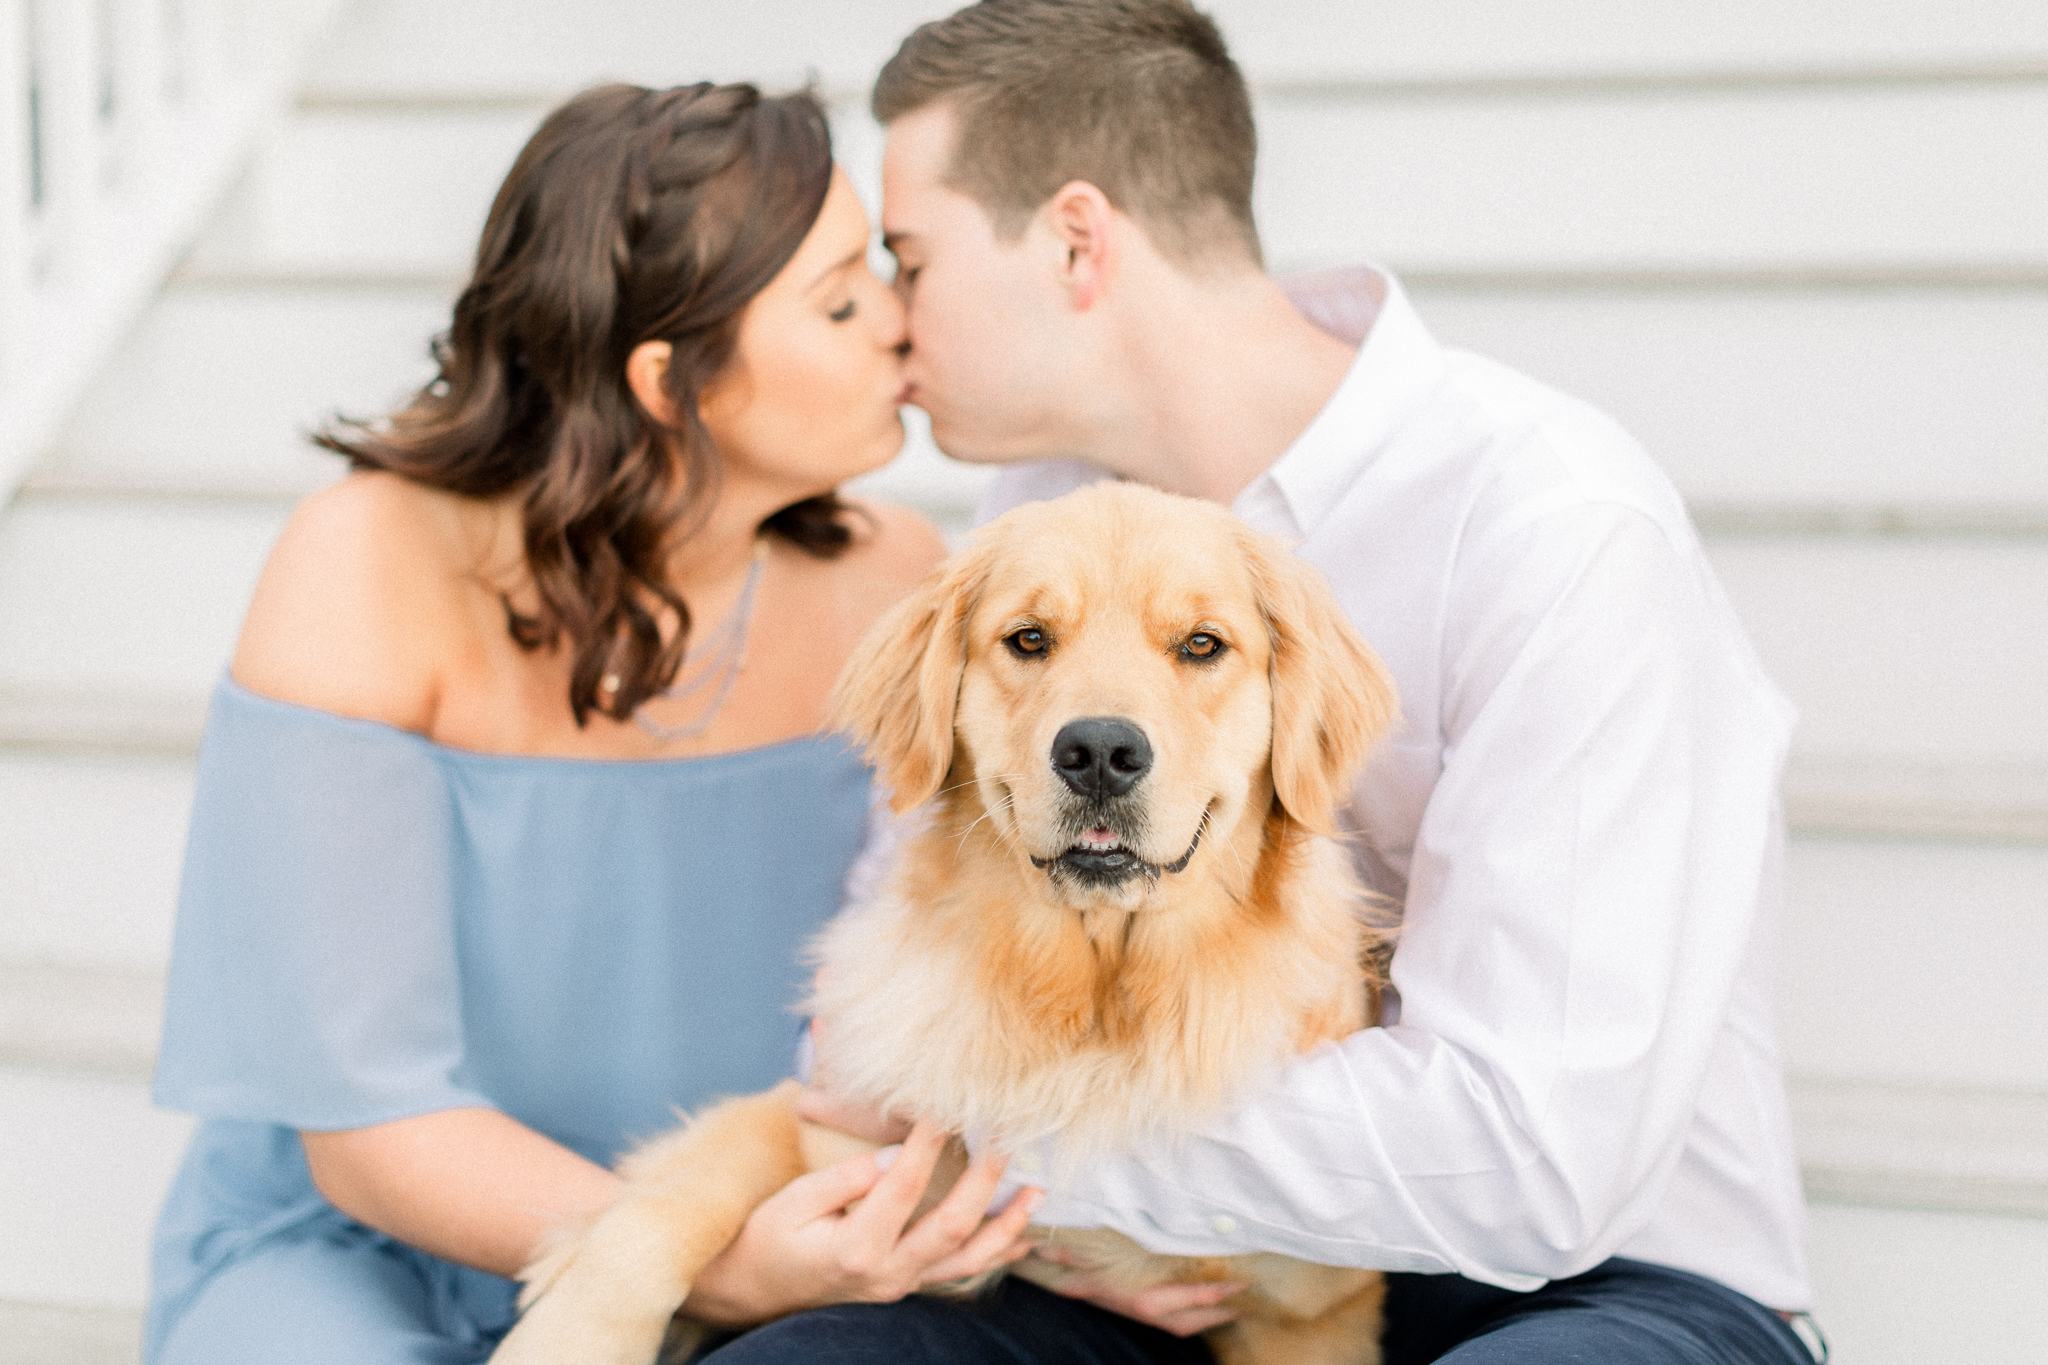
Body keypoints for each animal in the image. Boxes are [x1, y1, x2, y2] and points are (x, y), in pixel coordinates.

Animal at [487, 485, 1400, 1365]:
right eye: (1028, 639)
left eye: (1203, 645)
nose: (1101, 753)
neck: (1092, 996)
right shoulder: (834, 1106)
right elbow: (670, 1203)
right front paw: (569, 1330)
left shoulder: (1313, 1316)